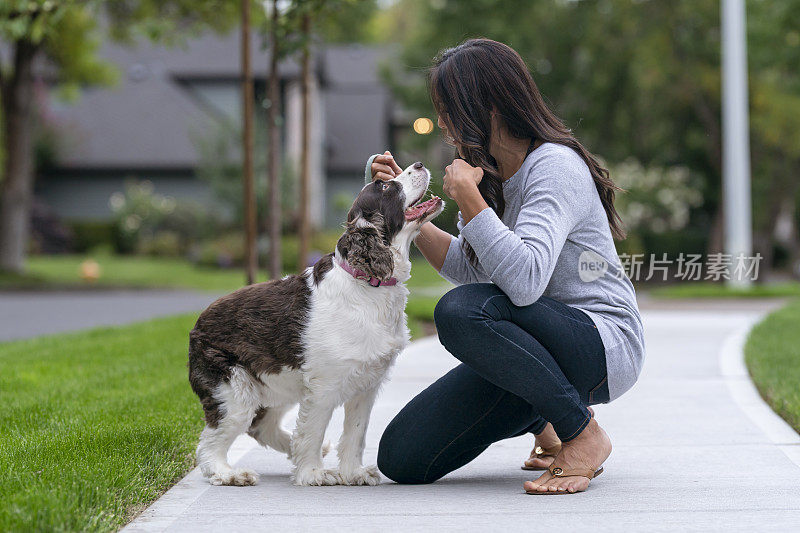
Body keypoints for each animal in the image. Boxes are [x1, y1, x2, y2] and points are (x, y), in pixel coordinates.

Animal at [188, 162, 444, 486]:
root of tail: (197, 325)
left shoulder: (366, 384)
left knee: (262, 426)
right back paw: (228, 473)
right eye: (385, 186)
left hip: (275, 383)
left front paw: (353, 472)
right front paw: (312, 474)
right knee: (212, 441)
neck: (367, 283)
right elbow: (313, 429)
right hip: (234, 389)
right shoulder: (324, 385)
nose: (419, 165)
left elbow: (356, 433)